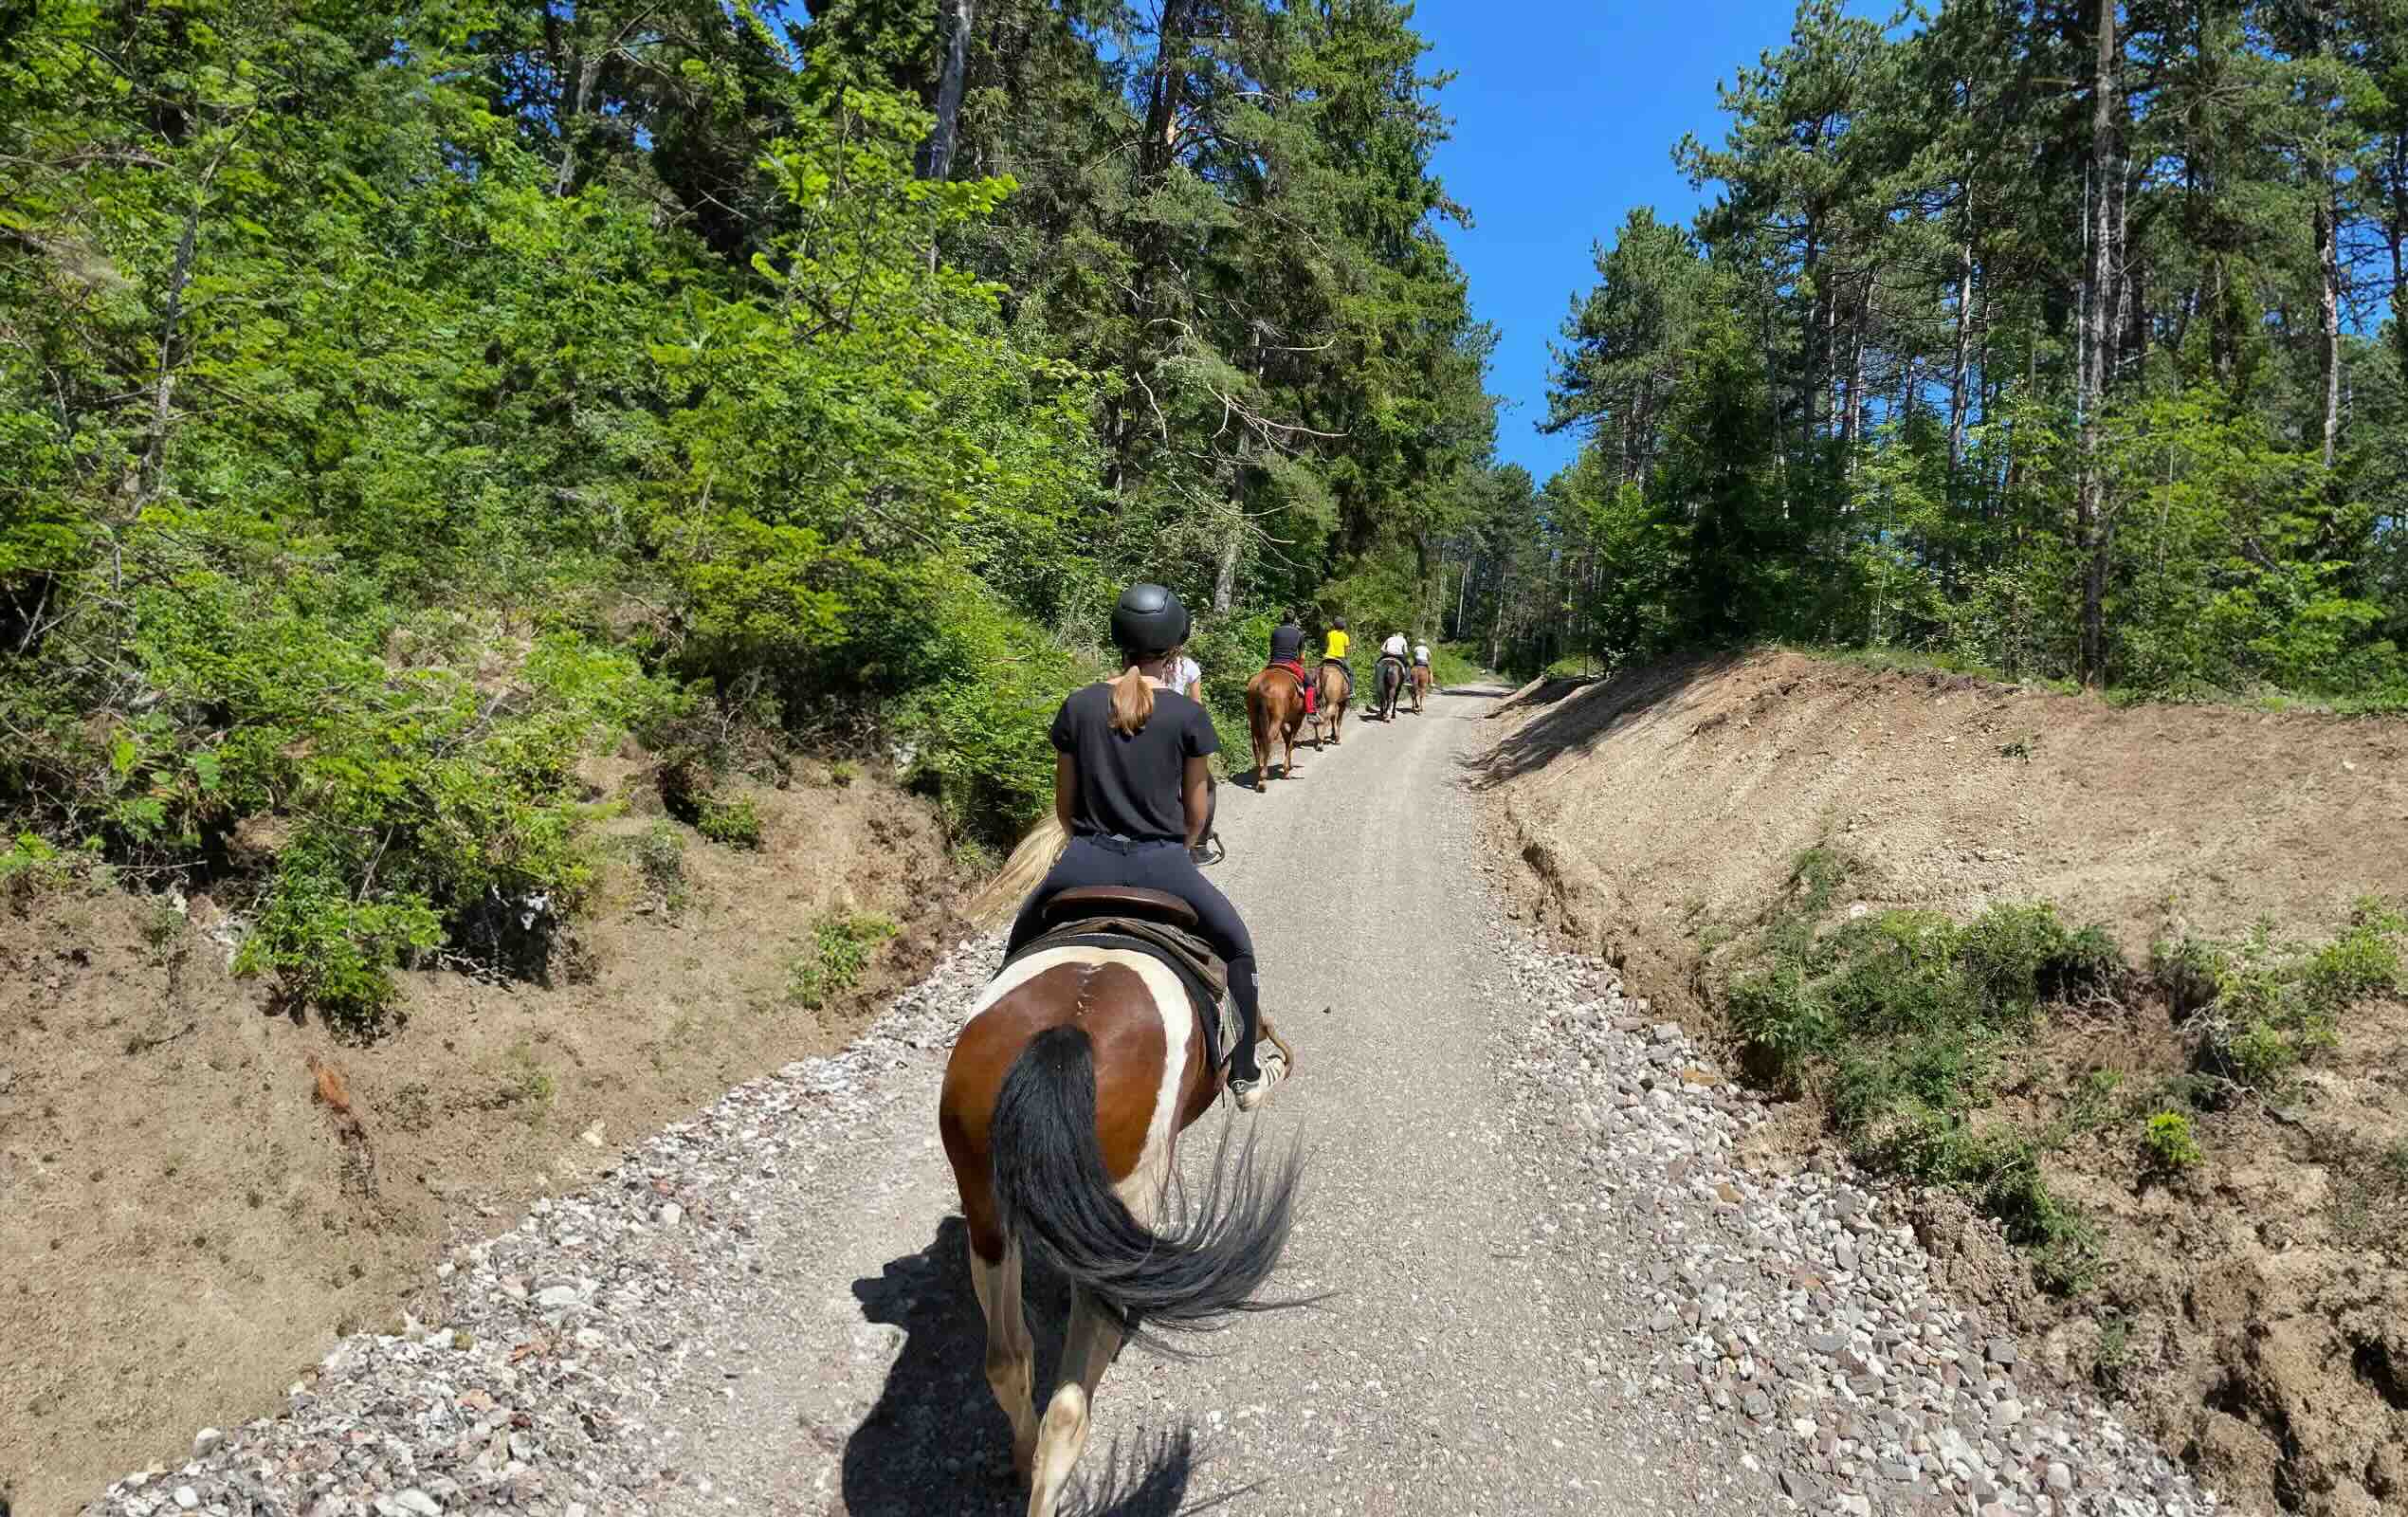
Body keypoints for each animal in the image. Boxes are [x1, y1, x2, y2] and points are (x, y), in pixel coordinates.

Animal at [938, 887, 1306, 1517]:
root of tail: (1065, 1035)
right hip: (1128, 1201)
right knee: (1068, 1407)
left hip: (984, 1206)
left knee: (1008, 1358)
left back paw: (1021, 1459)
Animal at [1244, 664, 1310, 786]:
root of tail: (1262, 686)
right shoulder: (1297, 720)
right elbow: (1290, 743)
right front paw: (1286, 770)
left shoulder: (1283, 723)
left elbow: (1287, 740)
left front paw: (1288, 766)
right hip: (1275, 720)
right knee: (1268, 741)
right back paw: (1263, 778)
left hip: (1254, 718)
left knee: (1256, 743)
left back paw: (1258, 771)